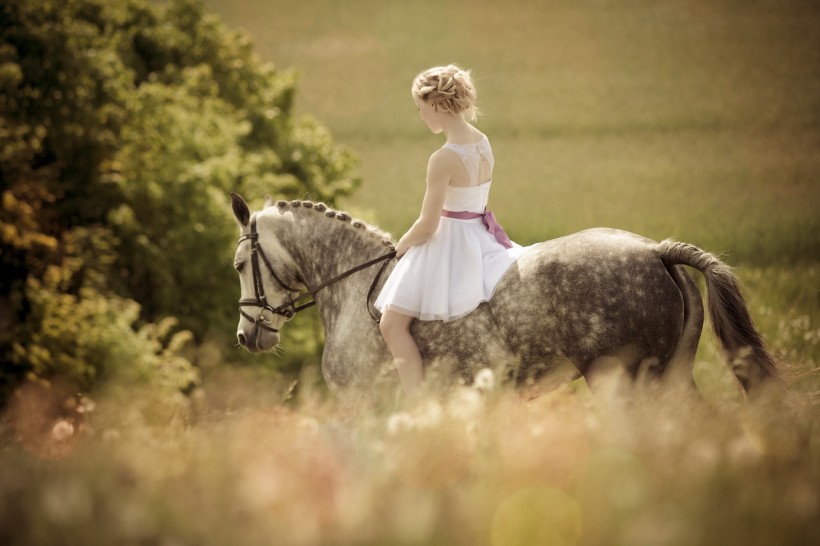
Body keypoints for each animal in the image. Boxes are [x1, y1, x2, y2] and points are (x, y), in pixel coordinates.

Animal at [229, 193, 776, 398]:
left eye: (238, 266)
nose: (245, 336)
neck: (350, 283)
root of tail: (655, 251)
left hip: (627, 381)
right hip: (671, 376)